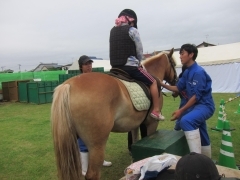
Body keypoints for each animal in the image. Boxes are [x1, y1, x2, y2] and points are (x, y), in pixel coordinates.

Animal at [51, 48, 176, 180]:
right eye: (173, 63)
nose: (176, 81)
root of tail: (68, 85)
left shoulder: (135, 124)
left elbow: (135, 141)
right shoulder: (152, 123)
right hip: (97, 144)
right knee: (92, 174)